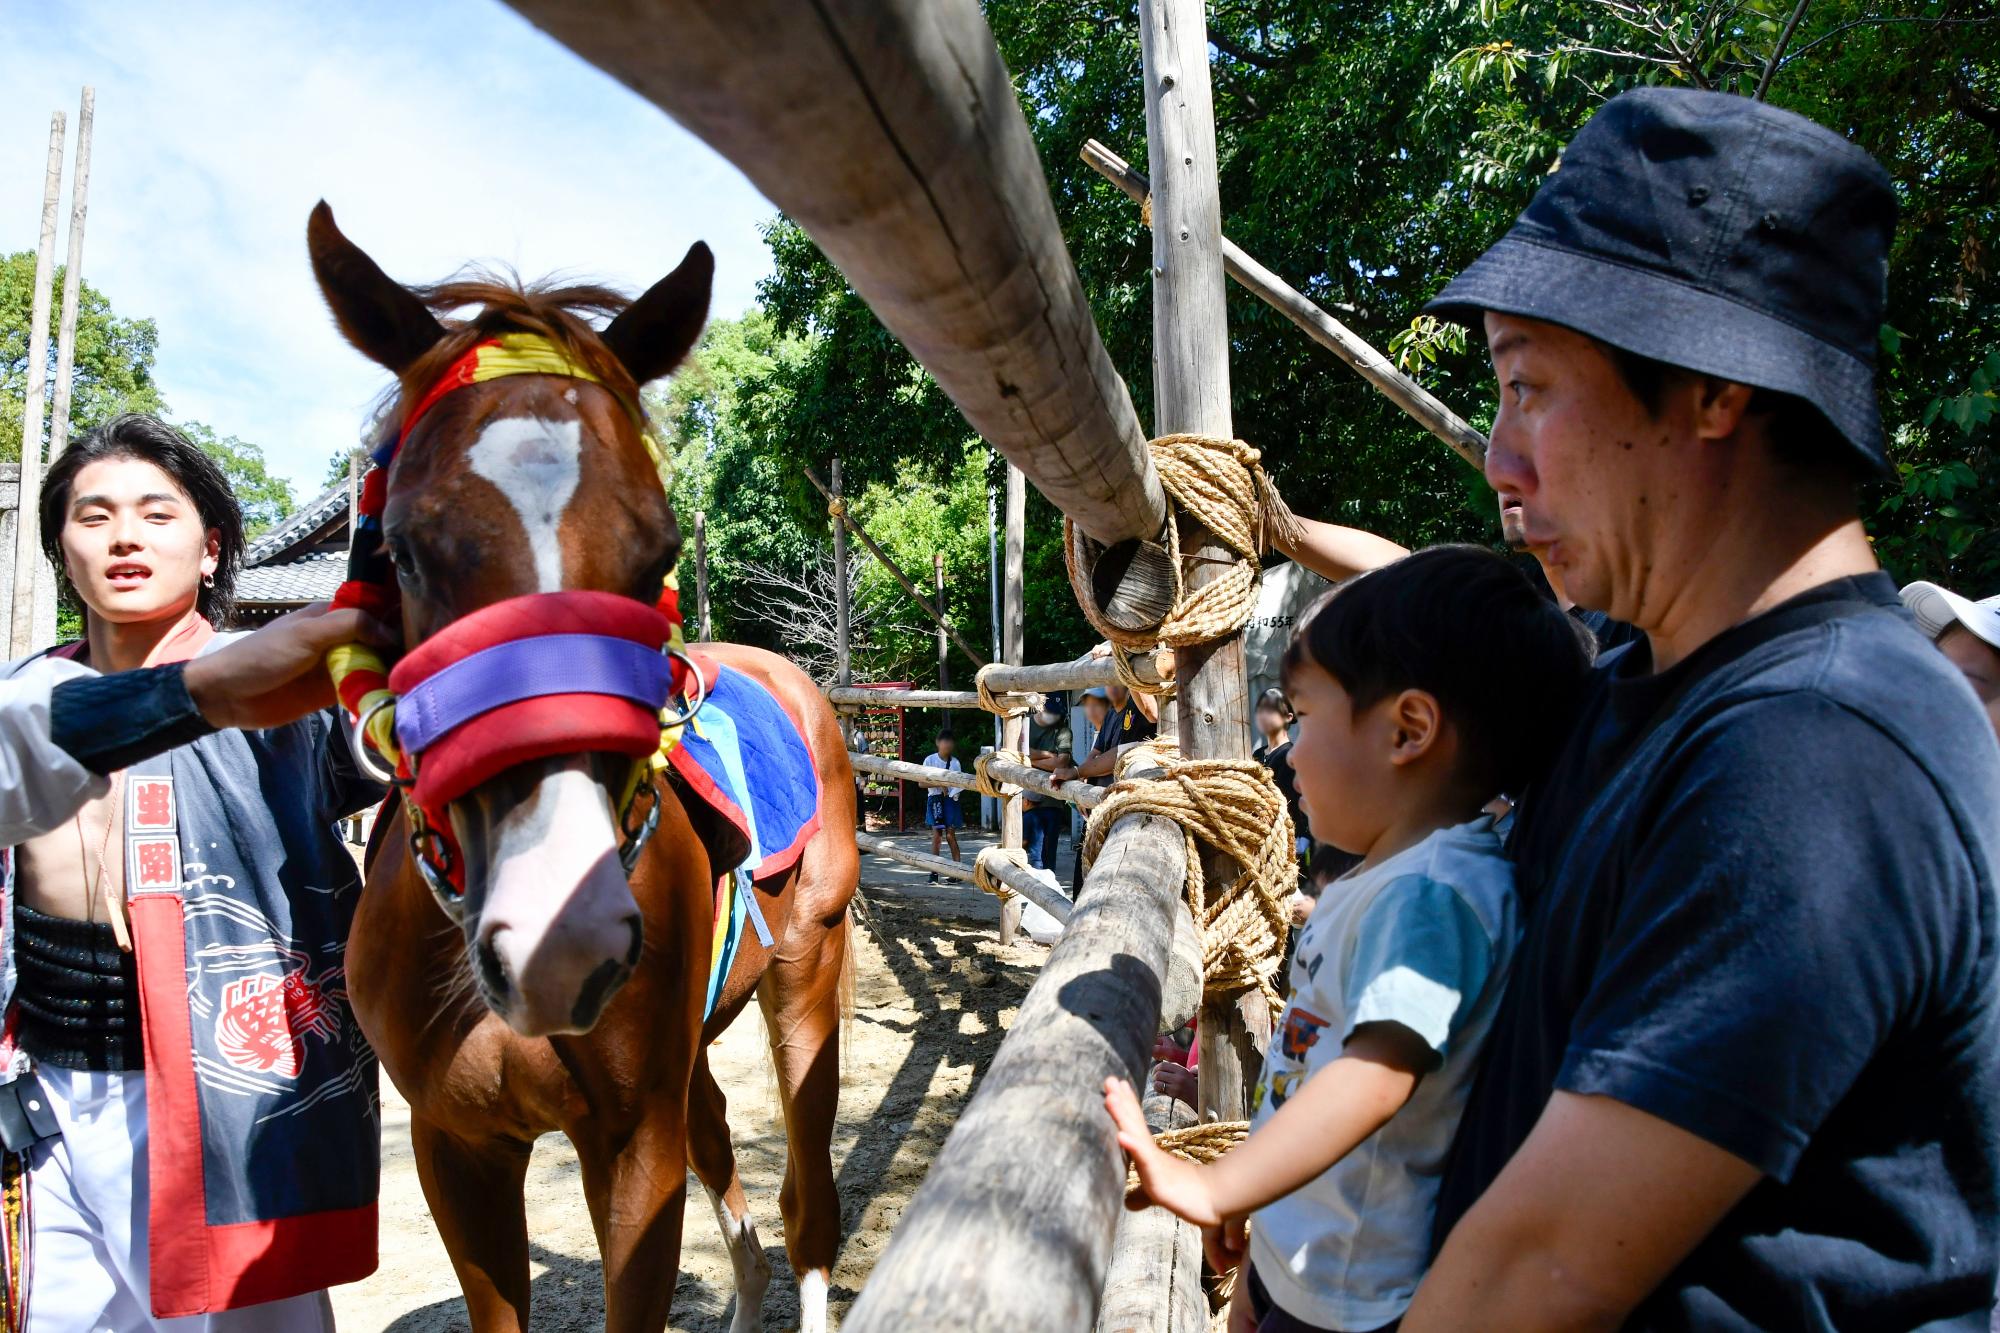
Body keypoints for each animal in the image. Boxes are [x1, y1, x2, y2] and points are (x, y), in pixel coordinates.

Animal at [305, 203, 858, 1333]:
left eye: (656, 556)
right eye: (403, 549)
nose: (564, 940)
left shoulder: (630, 1143)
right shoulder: (454, 1146)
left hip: (806, 979)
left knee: (806, 1200)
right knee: (724, 1142)